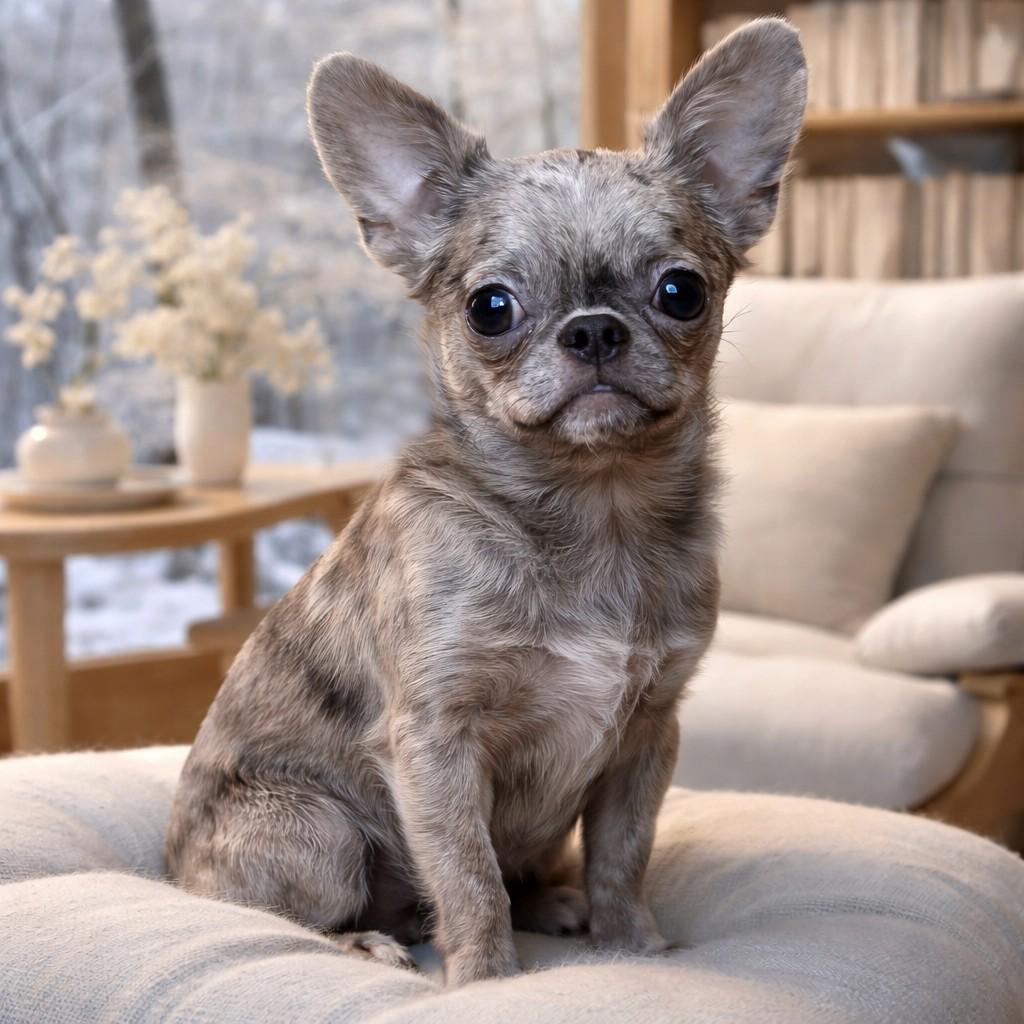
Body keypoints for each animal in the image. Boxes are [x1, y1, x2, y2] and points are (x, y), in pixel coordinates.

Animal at [166, 17, 806, 987]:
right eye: (490, 308)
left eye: (681, 291)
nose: (593, 330)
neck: (592, 511)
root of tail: (166, 874)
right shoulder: (437, 744)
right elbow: (468, 874)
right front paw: (486, 978)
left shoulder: (645, 740)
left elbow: (623, 855)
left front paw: (635, 944)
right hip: (315, 830)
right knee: (291, 909)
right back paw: (367, 940)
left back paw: (560, 905)